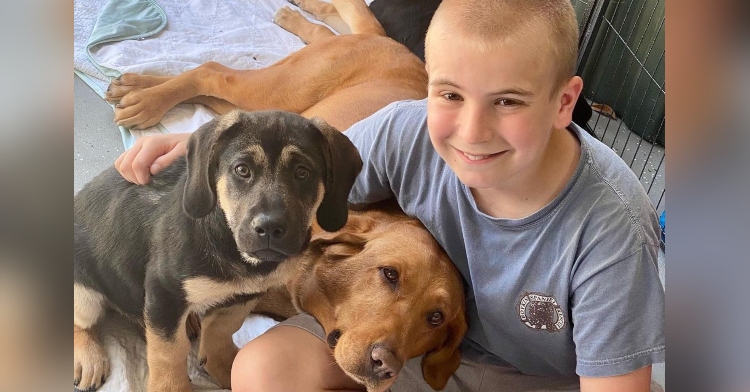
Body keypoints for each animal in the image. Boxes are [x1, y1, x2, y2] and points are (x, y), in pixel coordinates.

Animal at [74, 110, 364, 392]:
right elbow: (168, 352)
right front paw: (170, 385)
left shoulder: (246, 294)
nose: (270, 228)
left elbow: (222, 328)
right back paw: (88, 360)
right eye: (242, 170)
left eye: (303, 173)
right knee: (82, 322)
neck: (234, 249)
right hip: (84, 292)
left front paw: (222, 365)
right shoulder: (164, 290)